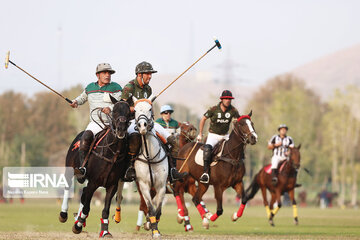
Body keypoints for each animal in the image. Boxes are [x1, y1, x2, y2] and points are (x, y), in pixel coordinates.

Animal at [58, 100, 131, 238]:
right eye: (114, 111)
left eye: (129, 112)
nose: (121, 130)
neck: (112, 155)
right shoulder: (93, 182)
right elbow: (86, 208)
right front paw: (78, 225)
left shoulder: (112, 185)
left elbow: (105, 210)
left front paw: (105, 231)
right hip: (70, 168)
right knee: (68, 188)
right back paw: (63, 214)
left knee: (83, 192)